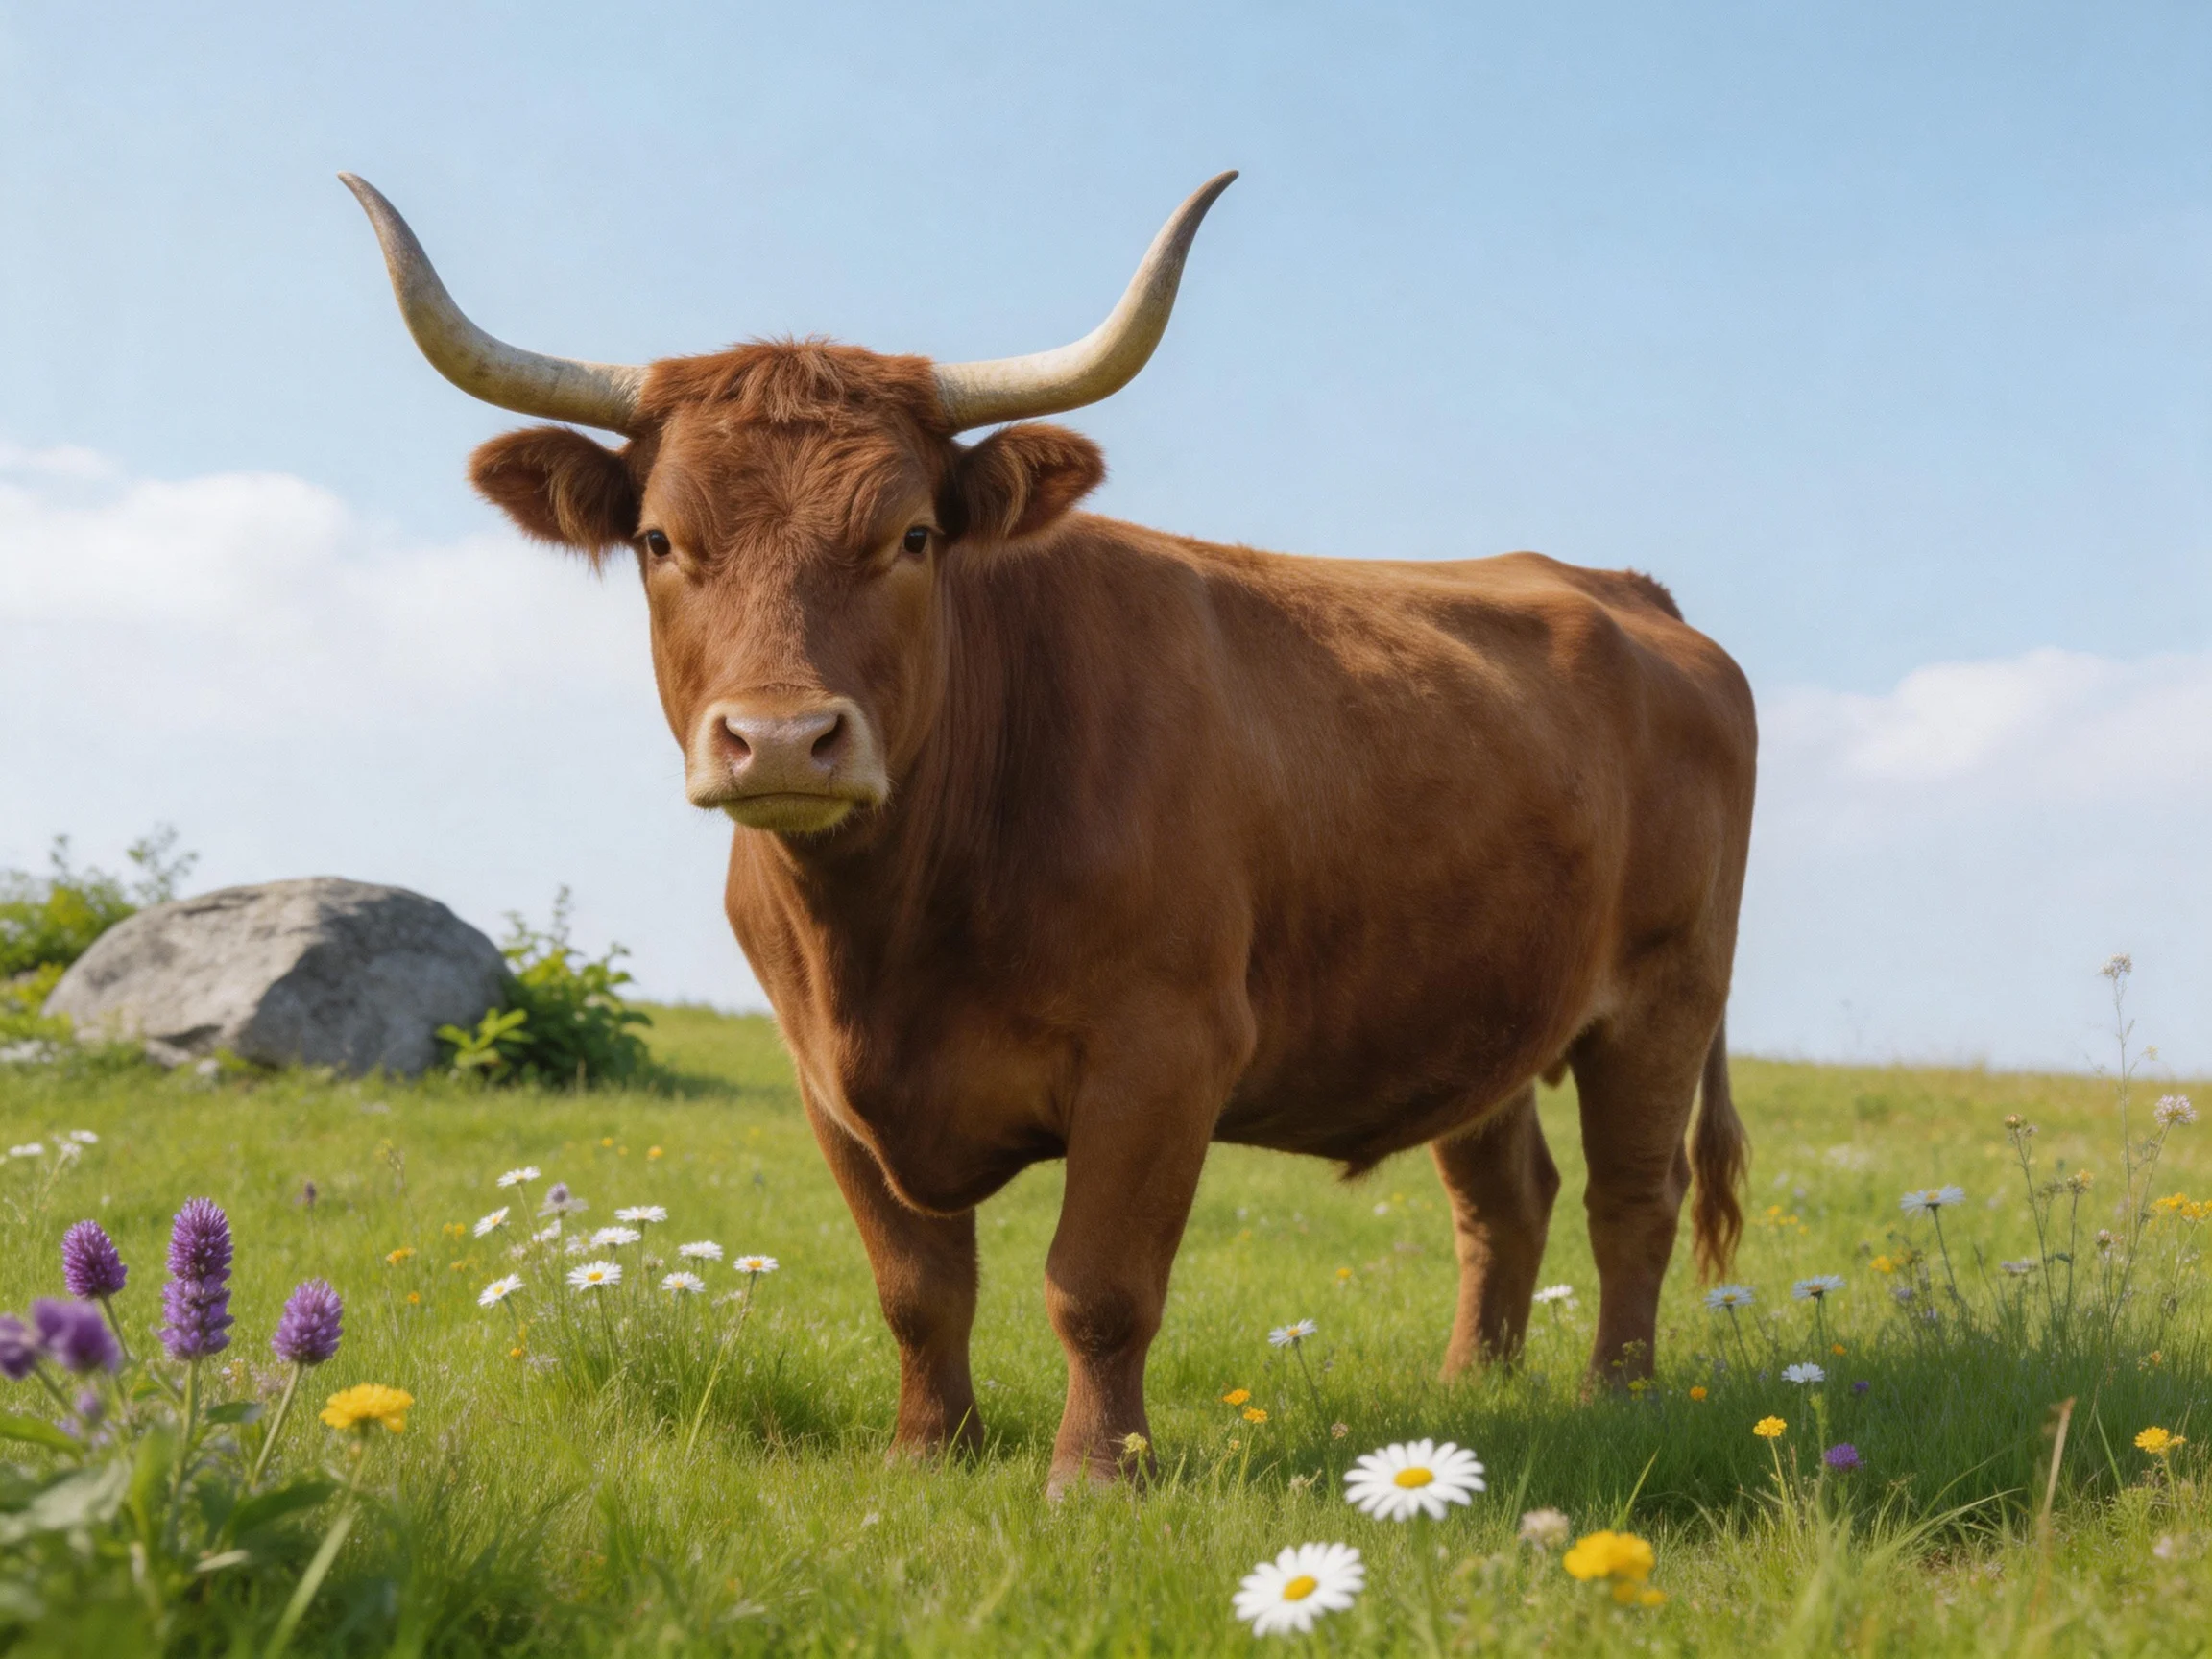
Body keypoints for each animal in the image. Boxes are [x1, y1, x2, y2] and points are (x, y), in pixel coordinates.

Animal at [343, 170, 1755, 1494]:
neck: (891, 936)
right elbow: (918, 1289)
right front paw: (930, 1451)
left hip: (1664, 995)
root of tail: (1620, 589)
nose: (785, 739)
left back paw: (1615, 1400)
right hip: (1487, 1009)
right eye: (657, 540)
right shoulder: (822, 1079)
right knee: (1505, 1199)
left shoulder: (1163, 1052)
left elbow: (1099, 1286)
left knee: (1634, 1199)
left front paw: (1094, 1474)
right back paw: (1472, 1393)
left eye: (912, 535)